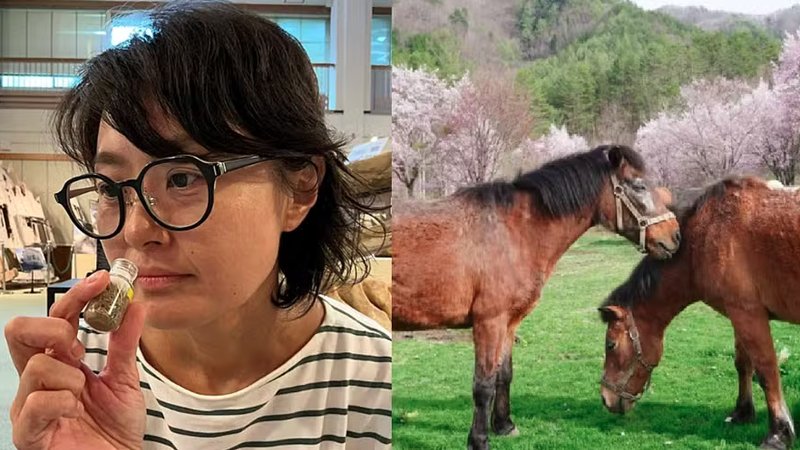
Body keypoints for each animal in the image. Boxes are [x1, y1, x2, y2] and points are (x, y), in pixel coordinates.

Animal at [393, 144, 682, 449]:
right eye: (639, 186)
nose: (674, 236)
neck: (515, 232)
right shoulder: (489, 322)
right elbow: (483, 385)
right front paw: (479, 440)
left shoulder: (509, 324)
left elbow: (504, 374)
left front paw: (504, 425)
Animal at [599, 176, 800, 450]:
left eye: (611, 345)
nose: (605, 398)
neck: (707, 237)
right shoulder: (740, 315)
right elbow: (743, 364)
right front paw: (742, 412)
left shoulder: (749, 315)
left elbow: (767, 372)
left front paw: (779, 433)